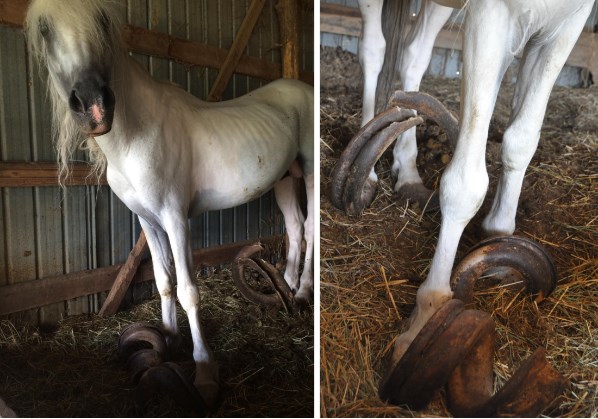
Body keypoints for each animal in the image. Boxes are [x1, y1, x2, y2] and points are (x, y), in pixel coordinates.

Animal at [24, 0, 314, 406]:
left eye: (102, 21)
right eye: (45, 29)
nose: (94, 106)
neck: (136, 135)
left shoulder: (176, 219)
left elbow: (188, 291)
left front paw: (205, 375)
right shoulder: (147, 220)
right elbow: (163, 281)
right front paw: (169, 339)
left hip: (311, 171)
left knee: (313, 229)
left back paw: (302, 293)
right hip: (286, 179)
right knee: (296, 228)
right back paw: (284, 287)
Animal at [356, 0, 596, 368]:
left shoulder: (568, 21)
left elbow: (521, 139)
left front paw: (498, 239)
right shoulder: (491, 14)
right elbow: (465, 183)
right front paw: (427, 315)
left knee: (414, 55)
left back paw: (409, 173)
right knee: (373, 49)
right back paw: (366, 170)